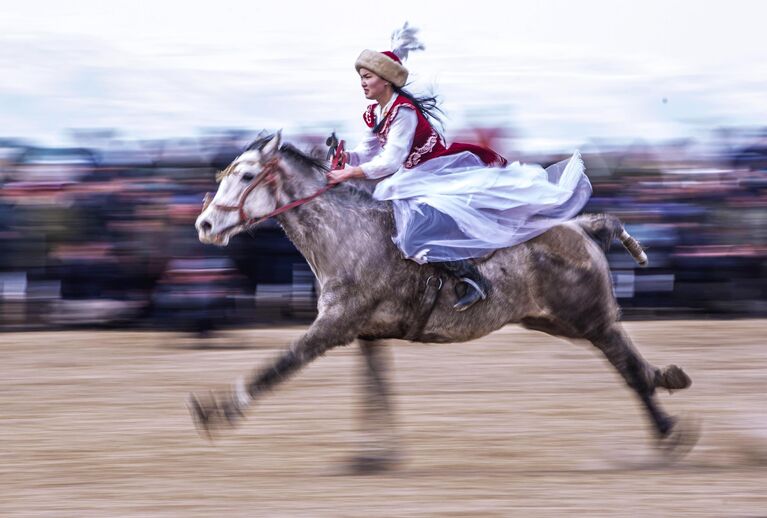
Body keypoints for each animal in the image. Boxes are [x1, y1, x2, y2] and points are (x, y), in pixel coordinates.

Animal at [190, 133, 696, 472]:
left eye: (247, 175)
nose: (205, 225)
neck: (349, 232)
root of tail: (582, 226)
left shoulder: (333, 326)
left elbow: (279, 365)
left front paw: (218, 410)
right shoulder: (366, 333)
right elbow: (377, 391)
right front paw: (374, 454)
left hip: (588, 318)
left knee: (627, 368)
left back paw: (668, 430)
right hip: (556, 321)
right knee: (629, 361)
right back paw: (667, 381)